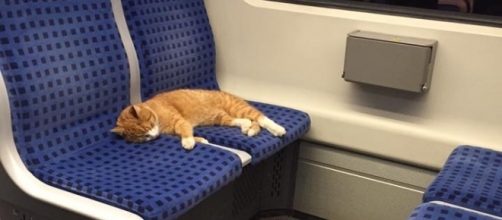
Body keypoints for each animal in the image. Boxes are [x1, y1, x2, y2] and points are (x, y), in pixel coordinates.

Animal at [113, 89, 286, 150]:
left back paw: (278, 129)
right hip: (221, 117)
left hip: (238, 108)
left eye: (148, 125)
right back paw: (246, 127)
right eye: (143, 136)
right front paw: (201, 140)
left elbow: (185, 132)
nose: (153, 136)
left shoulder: (180, 122)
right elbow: (189, 134)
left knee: (261, 118)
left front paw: (189, 142)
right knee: (240, 121)